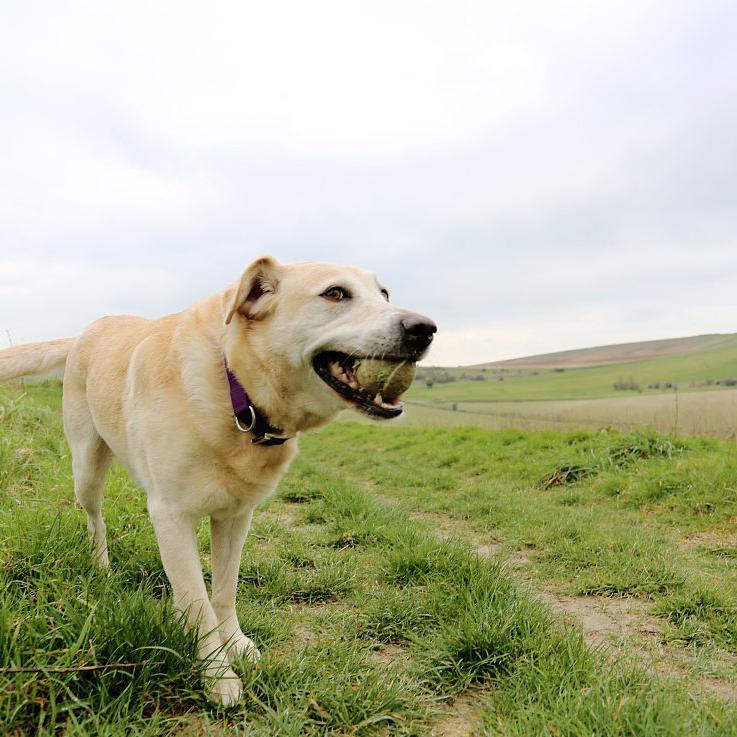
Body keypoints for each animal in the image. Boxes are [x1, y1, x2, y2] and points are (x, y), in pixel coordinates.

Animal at [0, 258, 434, 700]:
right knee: (95, 520)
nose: (425, 328)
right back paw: (101, 567)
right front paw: (217, 674)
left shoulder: (236, 517)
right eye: (335, 293)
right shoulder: (171, 516)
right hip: (86, 468)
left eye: (384, 294)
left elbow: (223, 592)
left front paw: (235, 644)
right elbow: (198, 602)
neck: (237, 393)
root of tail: (87, 330)